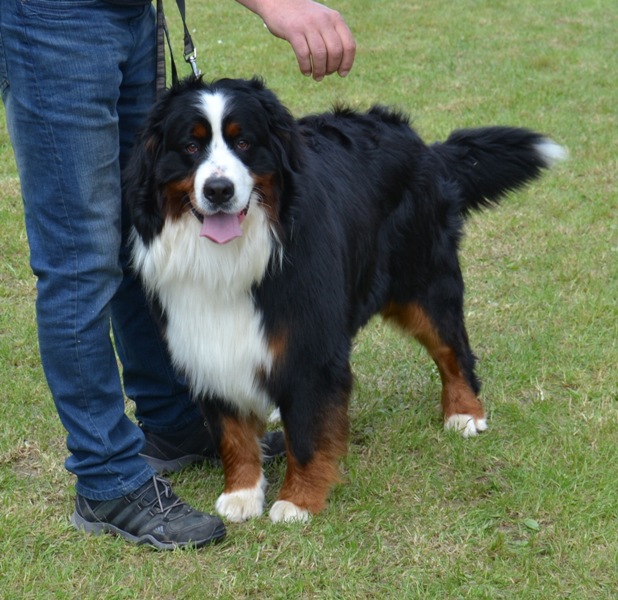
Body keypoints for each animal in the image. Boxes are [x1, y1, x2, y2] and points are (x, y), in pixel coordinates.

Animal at [125, 77, 564, 524]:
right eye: (190, 146)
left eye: (244, 142)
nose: (218, 190)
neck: (234, 255)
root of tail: (420, 142)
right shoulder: (205, 340)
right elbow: (232, 433)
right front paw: (242, 493)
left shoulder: (312, 343)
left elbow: (309, 432)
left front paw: (297, 501)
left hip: (424, 280)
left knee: (452, 348)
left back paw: (465, 412)